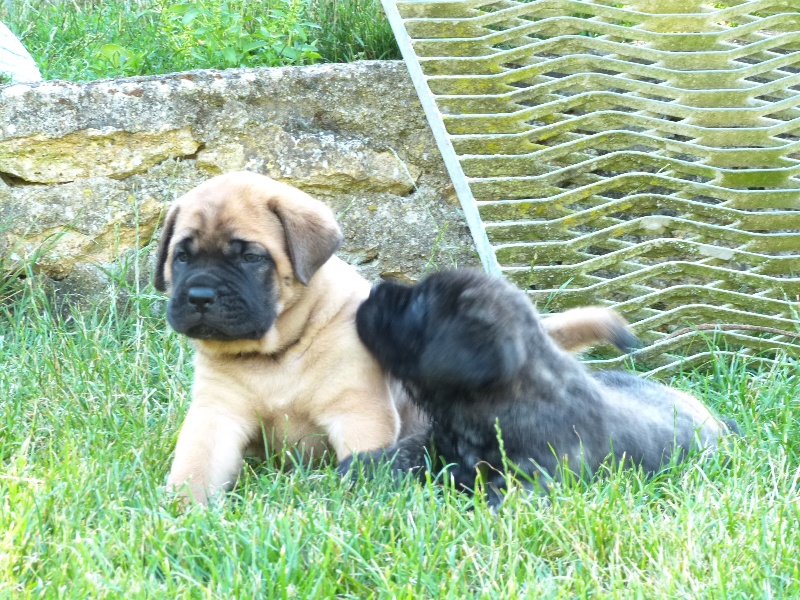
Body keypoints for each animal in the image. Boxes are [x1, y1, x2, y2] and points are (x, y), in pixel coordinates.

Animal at [340, 270, 736, 506]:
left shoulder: (534, 480)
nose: (376, 289)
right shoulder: (434, 443)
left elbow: (497, 499)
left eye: (420, 303)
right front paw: (358, 467)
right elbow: (402, 453)